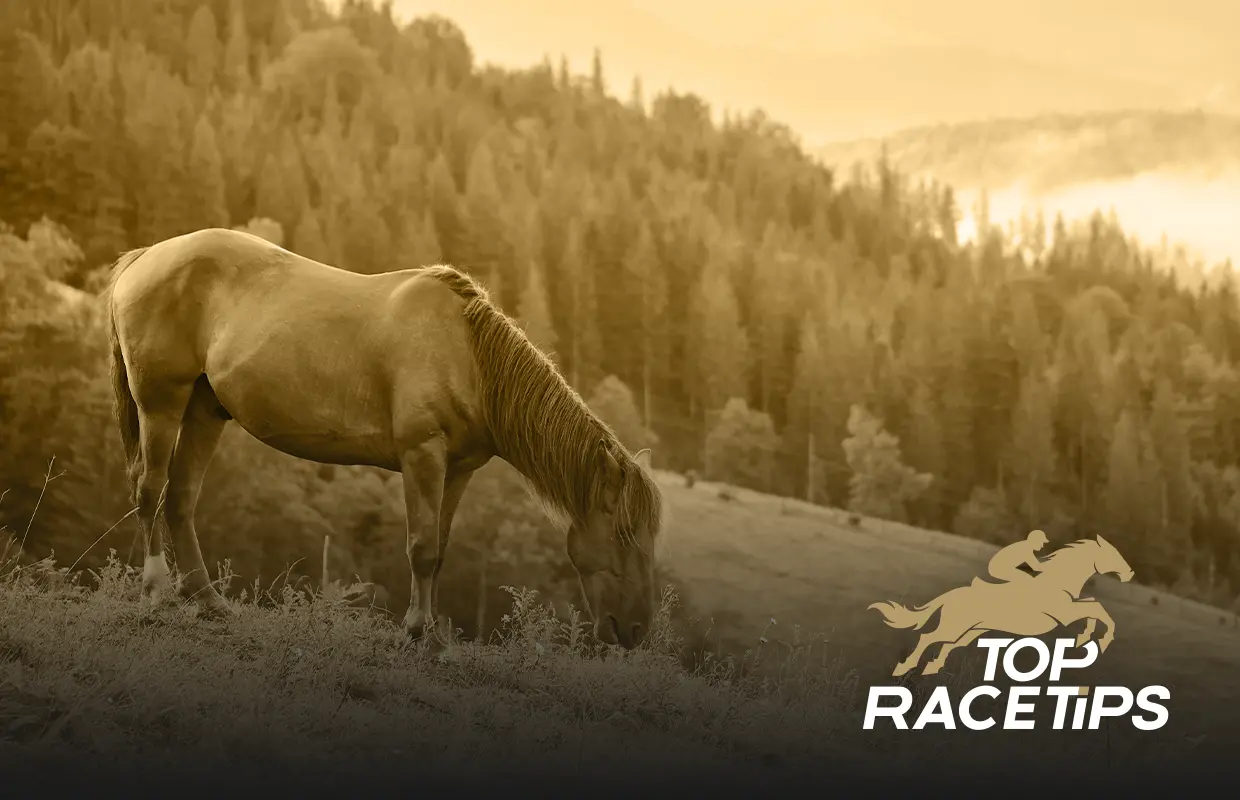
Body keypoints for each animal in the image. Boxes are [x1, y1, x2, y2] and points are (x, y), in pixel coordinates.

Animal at [103, 227, 663, 648]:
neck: (468, 356)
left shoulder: (457, 470)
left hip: (204, 411)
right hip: (161, 403)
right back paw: (155, 591)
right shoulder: (422, 456)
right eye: (622, 534)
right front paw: (416, 632)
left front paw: (432, 635)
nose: (635, 630)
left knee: (181, 498)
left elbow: (439, 548)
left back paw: (207, 602)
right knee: (150, 489)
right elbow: (421, 548)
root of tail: (145, 257)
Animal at [868, 535, 1134, 677]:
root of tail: (951, 595)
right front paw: (1100, 640)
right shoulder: (1065, 614)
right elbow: (1096, 608)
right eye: (1112, 554)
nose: (1130, 573)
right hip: (954, 628)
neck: (1059, 581)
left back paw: (931, 669)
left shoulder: (1070, 609)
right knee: (928, 638)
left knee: (948, 646)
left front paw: (1086, 636)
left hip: (972, 632)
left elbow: (1093, 607)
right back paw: (904, 668)